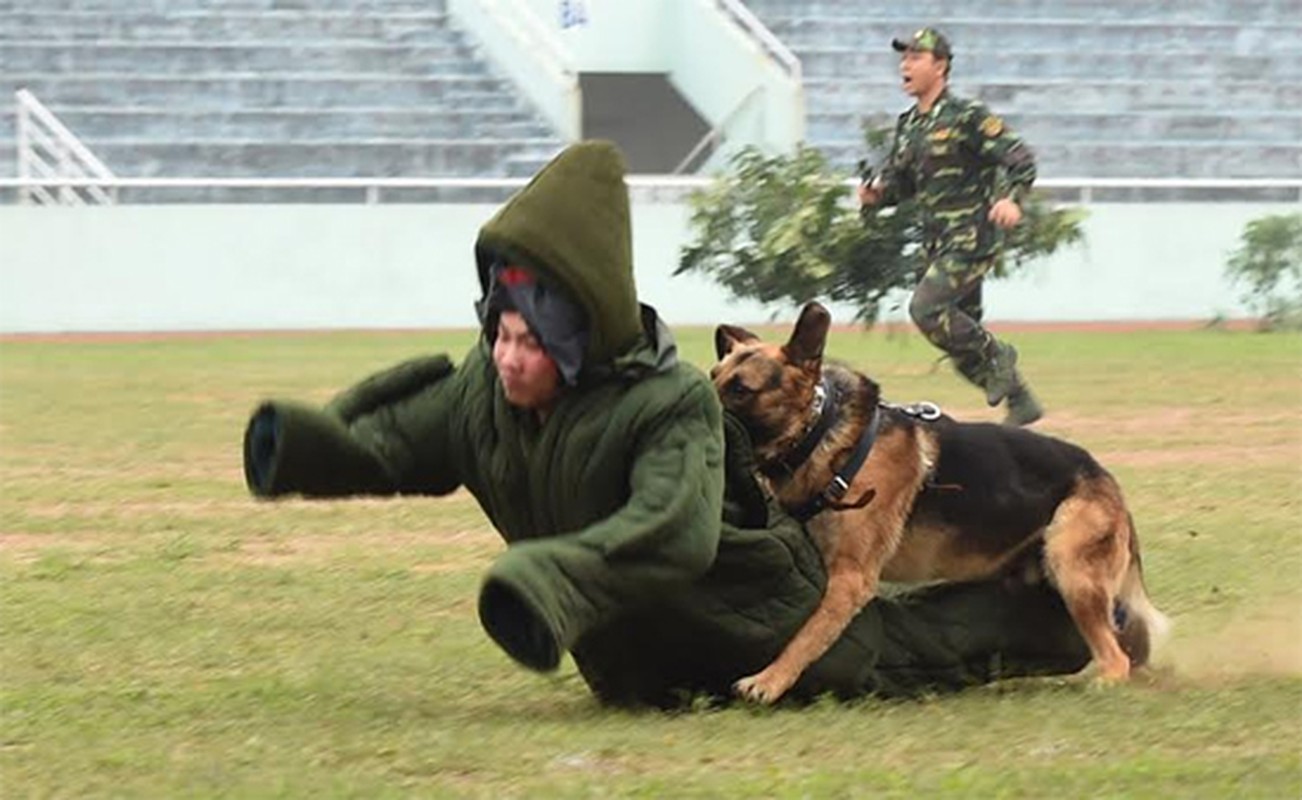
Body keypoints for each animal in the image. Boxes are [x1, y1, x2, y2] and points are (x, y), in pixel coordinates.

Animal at [713, 303, 1171, 703]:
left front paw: (768, 681)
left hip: (1073, 571)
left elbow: (806, 635)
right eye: (714, 376)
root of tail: (1106, 479)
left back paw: (1103, 681)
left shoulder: (849, 579)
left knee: (1115, 657)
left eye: (741, 389)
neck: (820, 429)